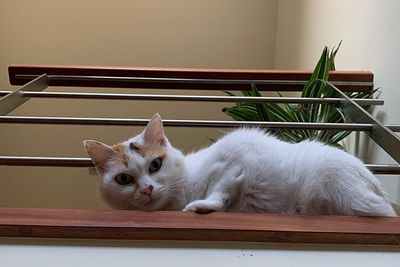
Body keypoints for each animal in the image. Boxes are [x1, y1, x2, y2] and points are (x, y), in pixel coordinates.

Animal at [84, 114, 396, 217]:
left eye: (155, 165)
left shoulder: (238, 155)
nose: (147, 189)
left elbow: (220, 190)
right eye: (124, 179)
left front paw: (203, 206)